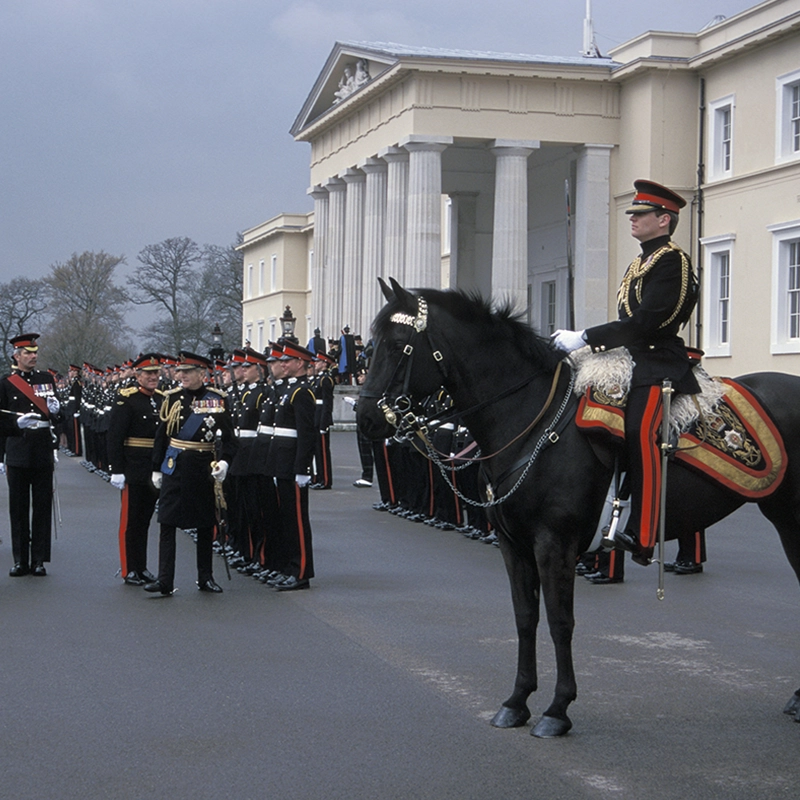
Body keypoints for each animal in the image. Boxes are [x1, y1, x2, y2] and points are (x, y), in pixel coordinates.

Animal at [360, 280, 800, 736]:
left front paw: (557, 709)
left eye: (396, 344)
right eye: (373, 343)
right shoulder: (513, 544)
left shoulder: (554, 543)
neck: (531, 420)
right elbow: (525, 618)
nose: (364, 416)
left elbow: (560, 622)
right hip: (785, 518)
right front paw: (517, 701)